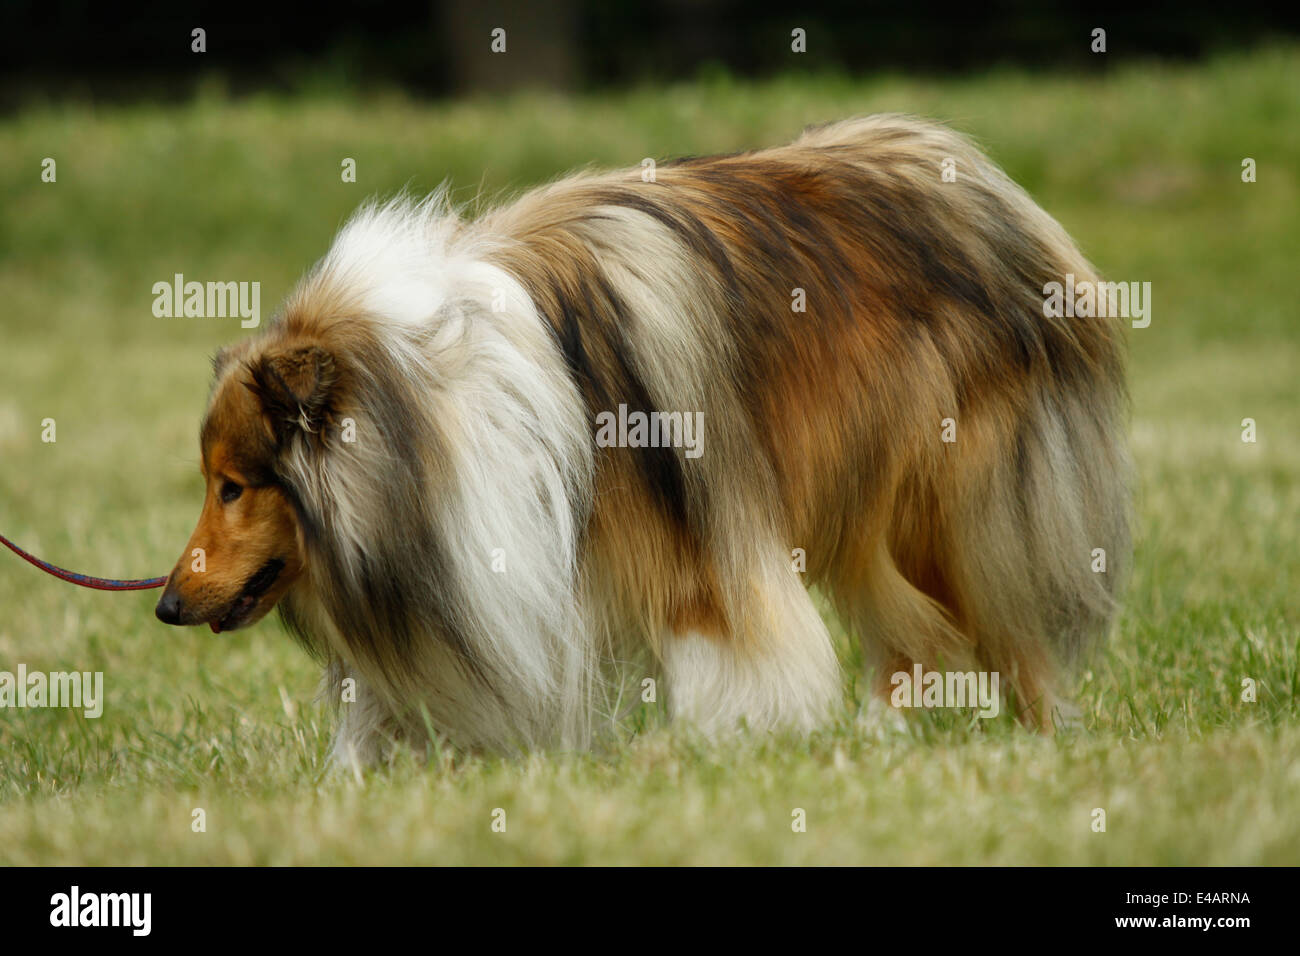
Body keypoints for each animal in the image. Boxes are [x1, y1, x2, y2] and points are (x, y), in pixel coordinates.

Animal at [152, 115, 1128, 759]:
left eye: (233, 485)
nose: (165, 605)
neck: (427, 405)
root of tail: (987, 190)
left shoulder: (697, 550)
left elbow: (723, 655)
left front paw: (718, 752)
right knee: (912, 631)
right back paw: (880, 739)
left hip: (947, 495)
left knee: (1000, 625)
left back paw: (1037, 743)